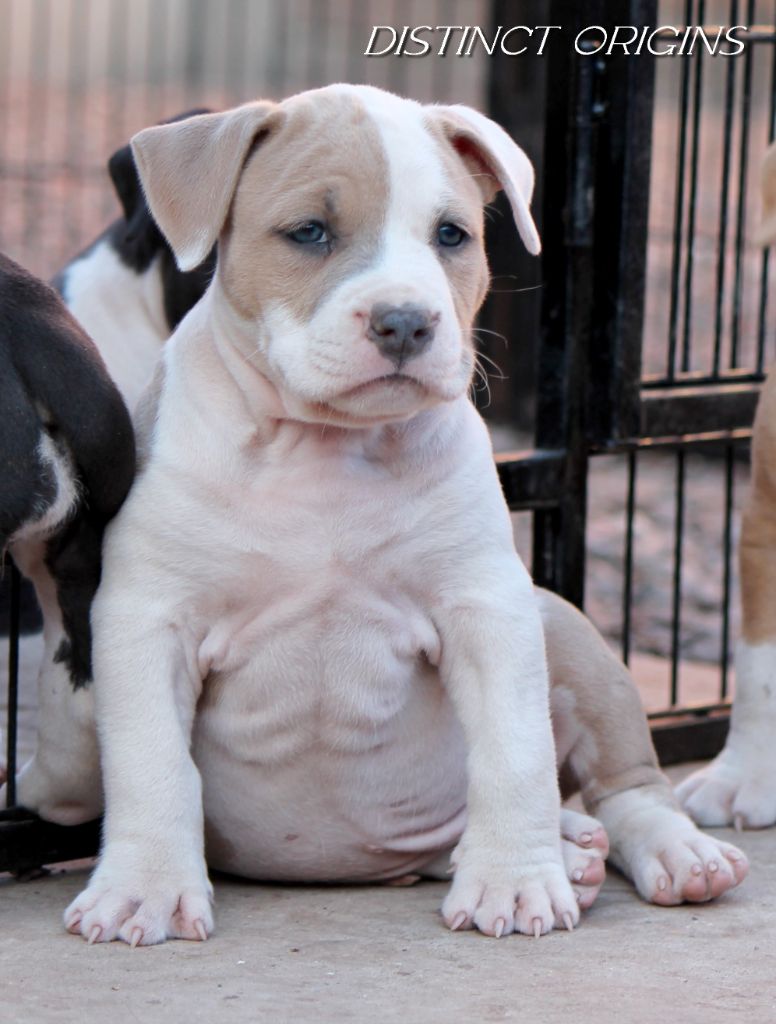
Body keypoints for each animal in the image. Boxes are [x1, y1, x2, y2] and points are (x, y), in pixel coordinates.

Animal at [56, 86, 746, 946]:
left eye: (451, 235)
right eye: (309, 232)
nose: (406, 322)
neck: (326, 450)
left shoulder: (489, 605)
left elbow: (515, 751)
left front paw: (516, 883)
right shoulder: (147, 618)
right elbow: (153, 763)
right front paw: (143, 889)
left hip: (561, 625)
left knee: (629, 789)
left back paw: (665, 854)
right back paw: (572, 852)